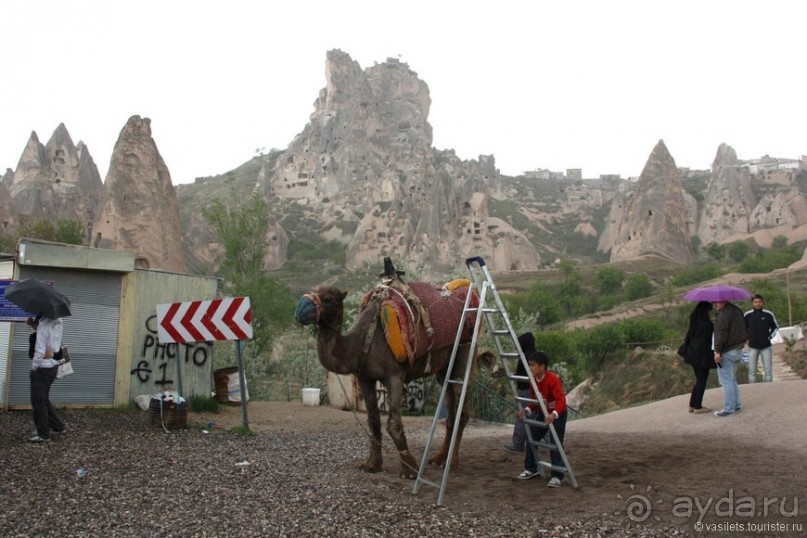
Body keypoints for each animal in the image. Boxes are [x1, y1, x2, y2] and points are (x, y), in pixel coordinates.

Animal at [292, 276, 490, 478]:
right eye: (313, 291)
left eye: (329, 299)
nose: (300, 310)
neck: (361, 342)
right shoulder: (364, 378)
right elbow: (373, 420)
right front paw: (372, 464)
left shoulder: (394, 375)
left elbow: (394, 423)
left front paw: (410, 469)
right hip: (444, 369)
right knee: (451, 412)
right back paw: (440, 458)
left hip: (466, 350)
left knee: (461, 410)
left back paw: (453, 462)